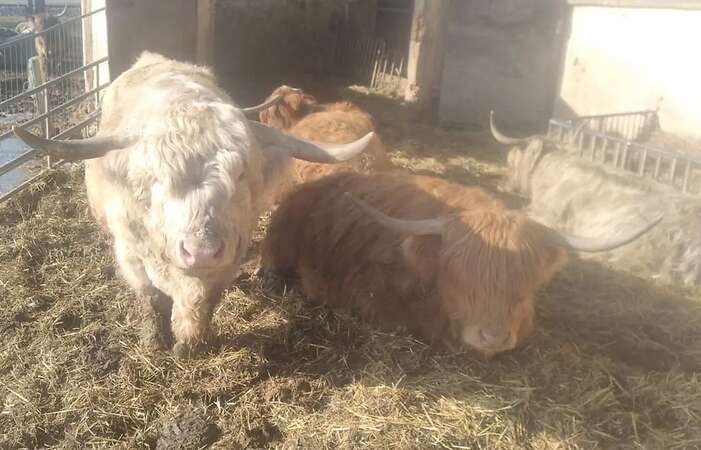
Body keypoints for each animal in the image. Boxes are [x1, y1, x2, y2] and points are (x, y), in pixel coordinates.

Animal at [12, 52, 376, 358]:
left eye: (240, 173)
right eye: (156, 176)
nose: (201, 251)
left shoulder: (230, 257)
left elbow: (205, 300)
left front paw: (191, 343)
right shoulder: (129, 251)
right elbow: (151, 297)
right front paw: (155, 340)